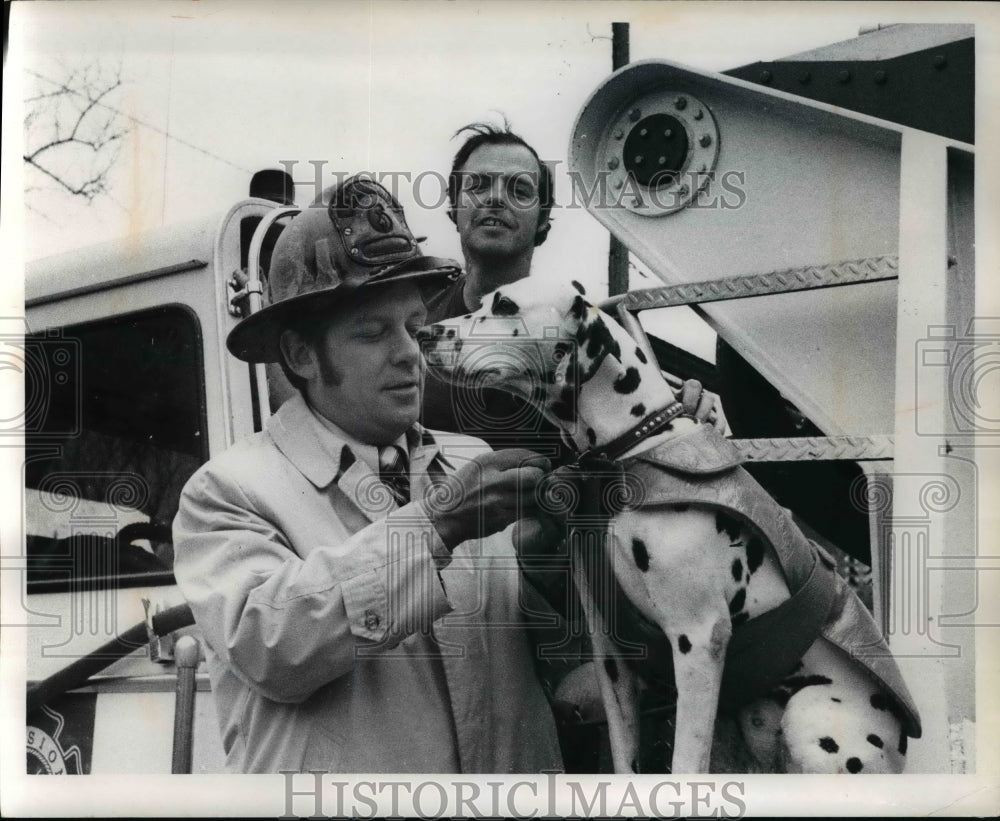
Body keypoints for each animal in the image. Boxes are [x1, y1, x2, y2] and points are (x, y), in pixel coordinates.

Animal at [418, 278, 924, 772]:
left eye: (505, 305)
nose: (424, 333)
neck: (630, 449)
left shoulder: (698, 640)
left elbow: (685, 765)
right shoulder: (611, 654)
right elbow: (626, 759)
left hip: (810, 720)